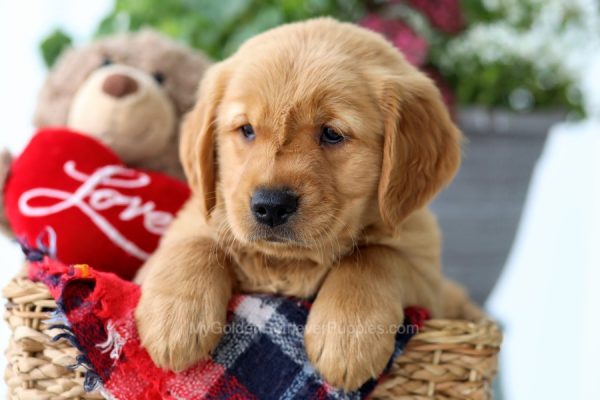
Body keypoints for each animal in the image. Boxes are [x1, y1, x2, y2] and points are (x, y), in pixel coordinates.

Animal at [136, 18, 478, 390]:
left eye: (332, 133)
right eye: (247, 130)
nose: (271, 205)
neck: (289, 263)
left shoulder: (429, 282)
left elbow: (374, 256)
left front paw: (347, 336)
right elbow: (195, 243)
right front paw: (174, 321)